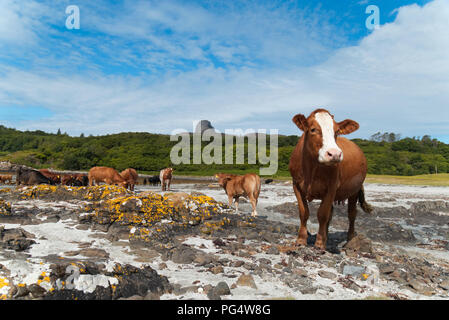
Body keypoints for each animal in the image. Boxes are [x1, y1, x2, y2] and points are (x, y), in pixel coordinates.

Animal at [288, 109, 372, 251]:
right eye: (313, 129)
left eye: (337, 131)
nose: (335, 154)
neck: (311, 169)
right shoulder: (296, 185)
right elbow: (304, 212)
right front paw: (301, 239)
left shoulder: (332, 187)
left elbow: (322, 214)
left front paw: (320, 243)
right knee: (331, 213)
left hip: (354, 191)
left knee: (351, 214)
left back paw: (350, 238)